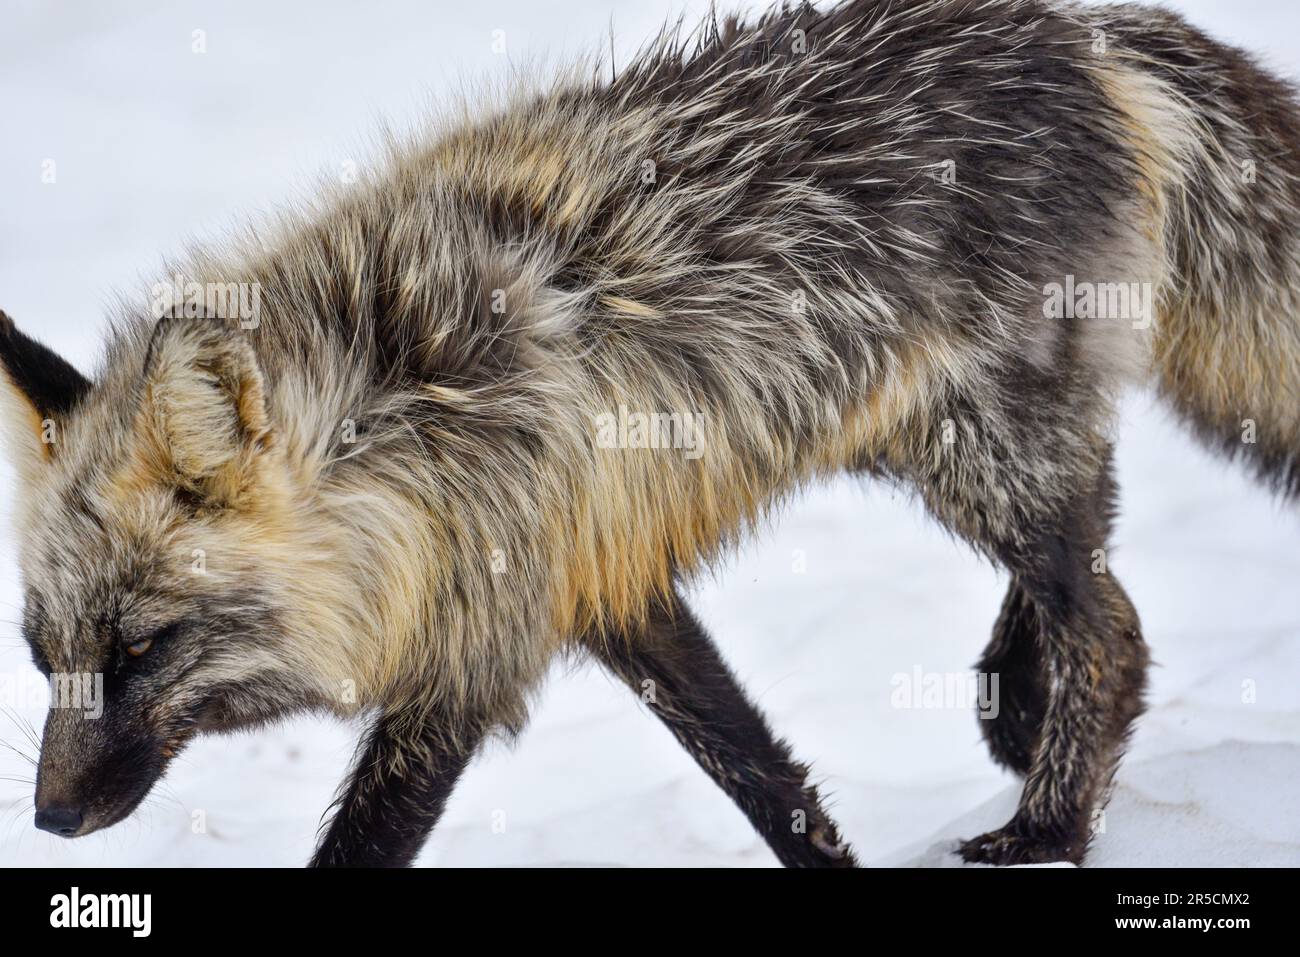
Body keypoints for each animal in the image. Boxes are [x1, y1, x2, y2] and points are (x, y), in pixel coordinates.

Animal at [2, 0, 1300, 868]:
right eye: (41, 655)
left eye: (144, 649)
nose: (49, 819)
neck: (400, 410)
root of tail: (1068, 26)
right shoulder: (603, 581)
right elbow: (757, 772)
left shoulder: (477, 646)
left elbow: (368, 837)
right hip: (944, 446)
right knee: (1091, 561)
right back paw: (1012, 706)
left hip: (980, 455)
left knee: (1110, 625)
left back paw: (1048, 824)